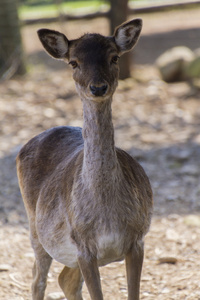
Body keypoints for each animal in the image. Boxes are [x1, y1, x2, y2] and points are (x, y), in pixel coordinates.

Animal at [16, 18, 153, 300]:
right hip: (36, 230)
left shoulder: (138, 240)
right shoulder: (84, 247)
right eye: (73, 62)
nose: (98, 87)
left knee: (65, 279)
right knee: (37, 278)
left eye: (114, 57)